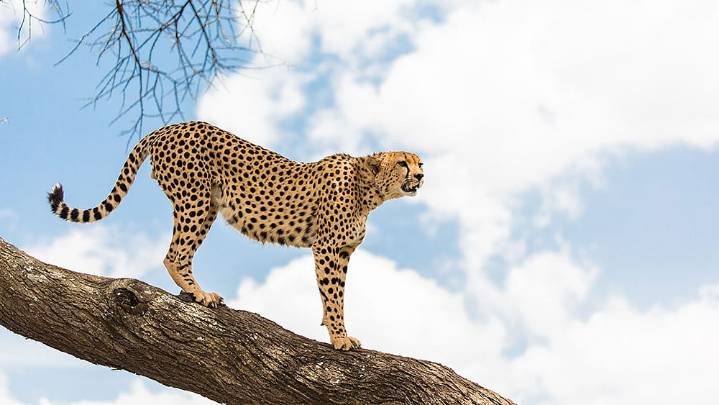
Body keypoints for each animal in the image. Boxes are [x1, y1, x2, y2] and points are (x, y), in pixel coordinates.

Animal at [47, 121, 424, 350]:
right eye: (403, 163)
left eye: (419, 162)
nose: (421, 175)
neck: (369, 190)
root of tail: (170, 126)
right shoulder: (328, 249)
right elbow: (333, 296)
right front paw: (339, 338)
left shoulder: (343, 252)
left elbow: (337, 295)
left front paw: (335, 330)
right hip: (196, 200)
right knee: (175, 254)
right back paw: (199, 294)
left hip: (205, 204)